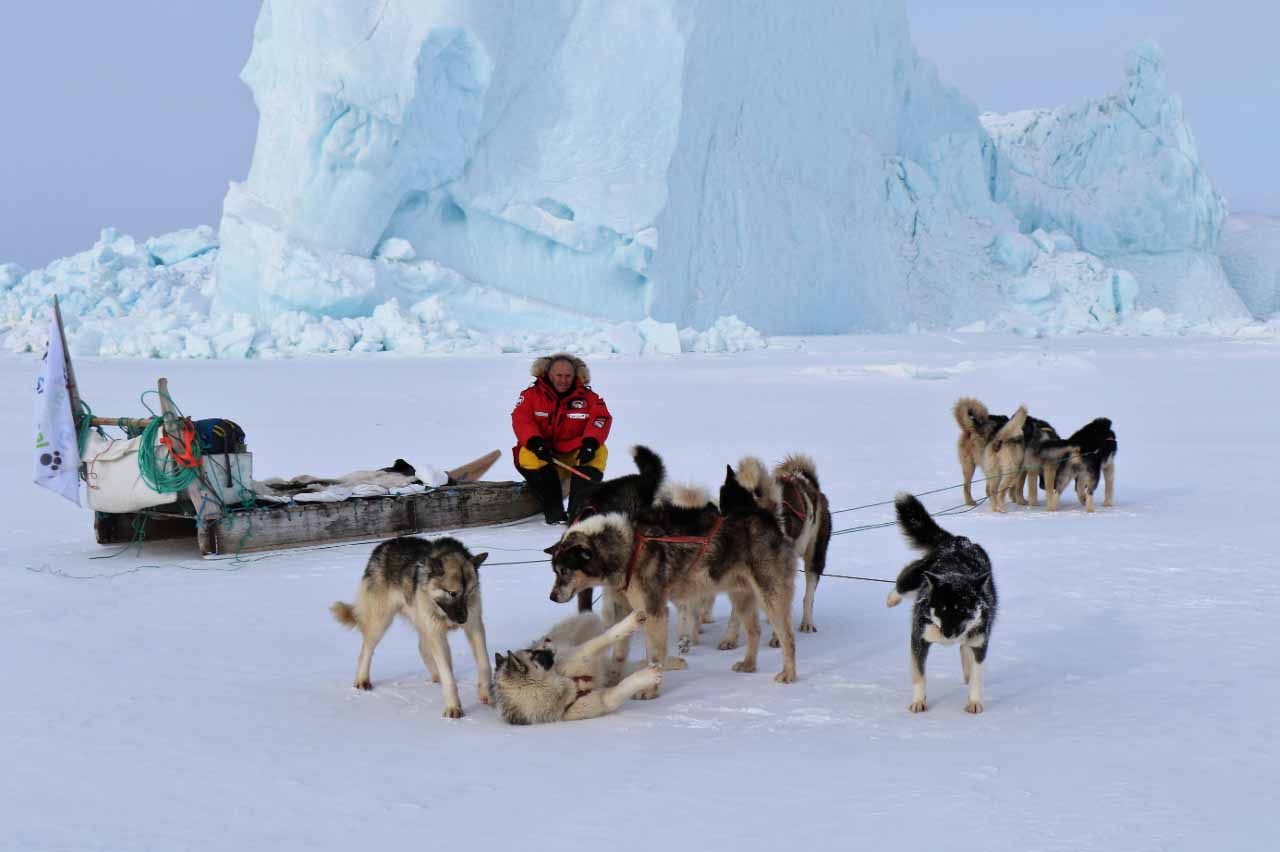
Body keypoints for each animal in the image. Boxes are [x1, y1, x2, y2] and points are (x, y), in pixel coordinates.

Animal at [330, 534, 488, 711]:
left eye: (470, 592)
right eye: (452, 593)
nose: (462, 620)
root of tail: (382, 546)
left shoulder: (474, 626)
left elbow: (484, 664)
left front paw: (486, 694)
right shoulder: (437, 634)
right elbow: (448, 675)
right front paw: (453, 707)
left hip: (421, 622)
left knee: (422, 649)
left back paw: (436, 676)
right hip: (381, 623)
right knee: (366, 651)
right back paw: (362, 680)